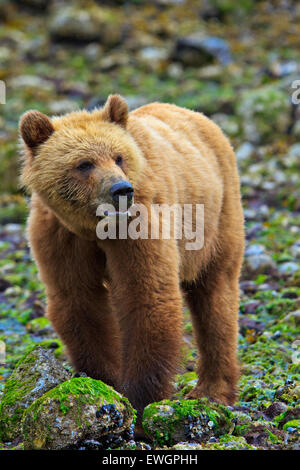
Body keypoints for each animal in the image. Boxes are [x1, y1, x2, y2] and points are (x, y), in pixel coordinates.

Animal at [19, 96, 244, 426]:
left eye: (118, 157)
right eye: (84, 163)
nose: (121, 190)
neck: (93, 227)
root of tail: (195, 114)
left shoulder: (139, 225)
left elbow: (146, 295)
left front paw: (140, 403)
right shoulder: (60, 236)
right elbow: (79, 301)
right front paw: (104, 383)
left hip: (216, 217)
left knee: (216, 297)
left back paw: (211, 391)